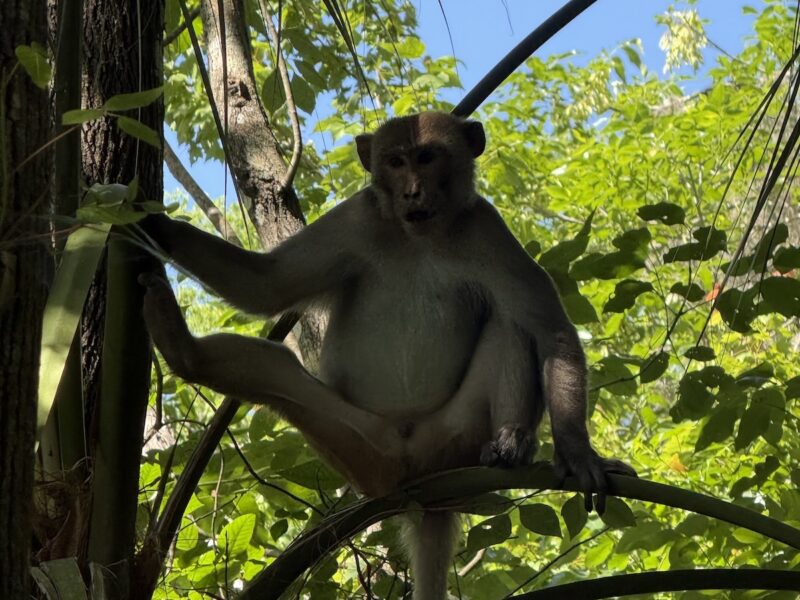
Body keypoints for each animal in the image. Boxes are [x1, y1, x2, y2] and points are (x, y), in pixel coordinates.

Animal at [137, 111, 636, 600]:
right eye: (395, 162)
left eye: (428, 156)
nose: (412, 189)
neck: (417, 236)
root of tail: (415, 483)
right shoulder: (358, 216)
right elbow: (266, 284)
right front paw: (157, 227)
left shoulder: (486, 229)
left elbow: (551, 332)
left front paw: (578, 453)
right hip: (357, 447)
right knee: (276, 369)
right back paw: (182, 348)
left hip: (452, 440)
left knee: (510, 322)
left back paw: (510, 444)